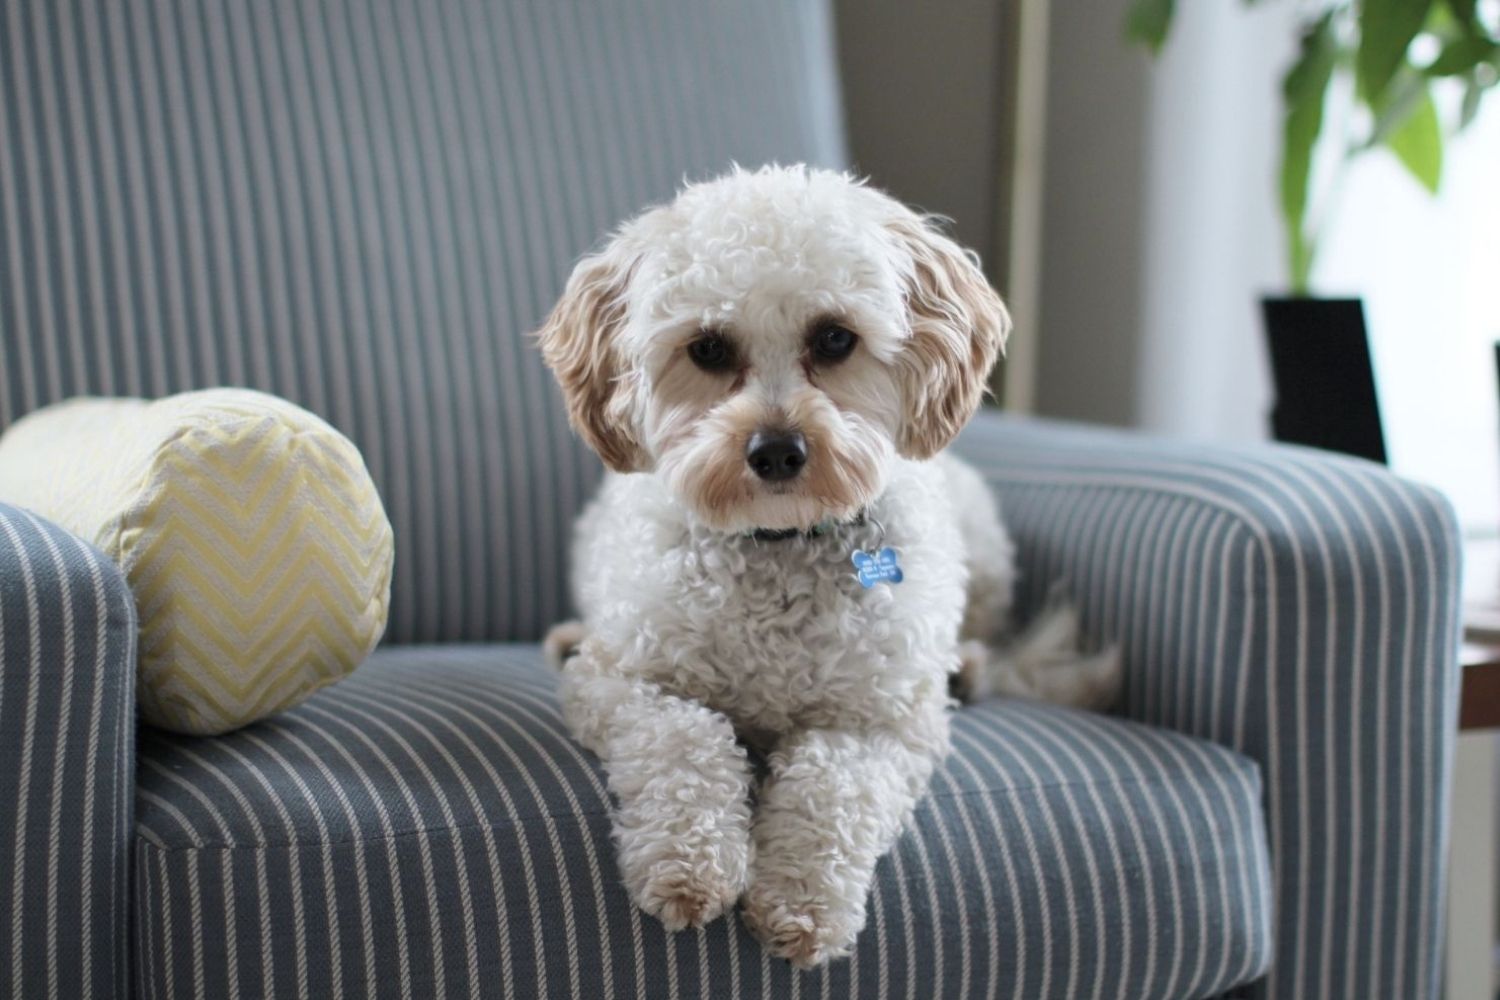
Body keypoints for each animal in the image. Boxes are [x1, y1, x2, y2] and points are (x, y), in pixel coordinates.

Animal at [537, 166, 1116, 971]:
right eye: (708, 349)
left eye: (835, 338)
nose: (777, 450)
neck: (778, 543)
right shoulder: (623, 682)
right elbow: (686, 740)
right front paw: (689, 864)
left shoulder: (880, 723)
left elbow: (831, 787)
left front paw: (802, 902)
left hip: (983, 546)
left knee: (983, 629)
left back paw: (967, 667)